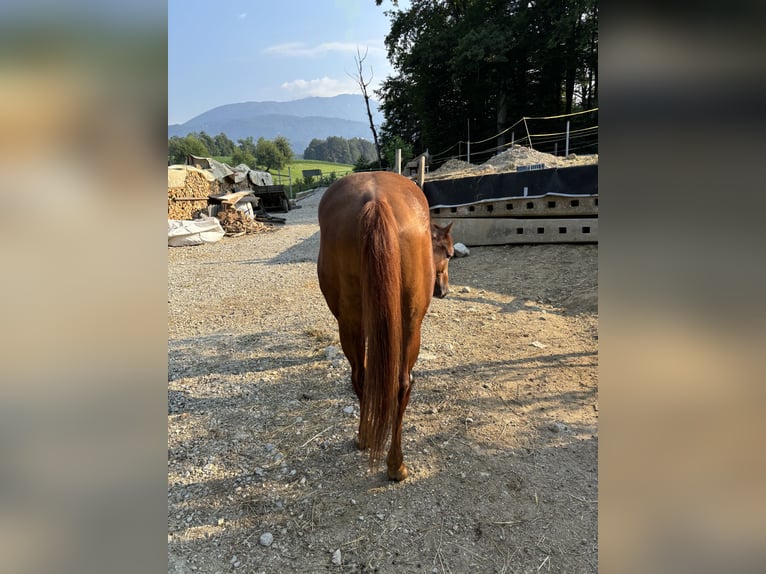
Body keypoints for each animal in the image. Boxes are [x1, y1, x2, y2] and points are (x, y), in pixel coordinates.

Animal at [316, 171, 452, 482]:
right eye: (450, 254)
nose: (444, 291)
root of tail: (375, 200)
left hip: (354, 324)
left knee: (368, 378)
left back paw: (377, 448)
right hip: (407, 326)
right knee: (394, 382)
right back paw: (393, 462)